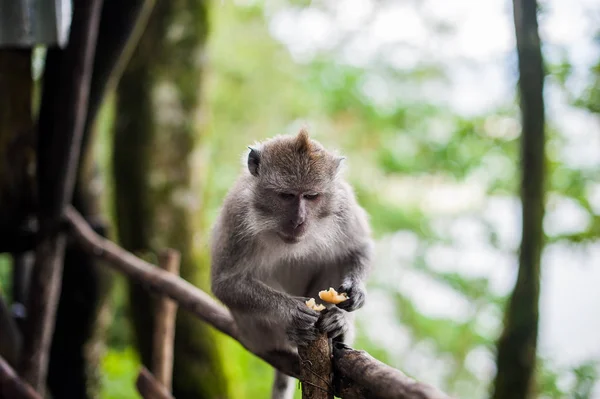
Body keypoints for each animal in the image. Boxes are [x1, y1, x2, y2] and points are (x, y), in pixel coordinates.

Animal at [209, 129, 372, 399]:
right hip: (255, 336)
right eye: (286, 195)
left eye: (312, 196)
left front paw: (355, 292)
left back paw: (338, 327)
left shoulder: (342, 204)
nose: (299, 221)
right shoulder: (238, 213)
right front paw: (291, 310)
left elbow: (360, 247)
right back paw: (293, 333)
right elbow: (226, 283)